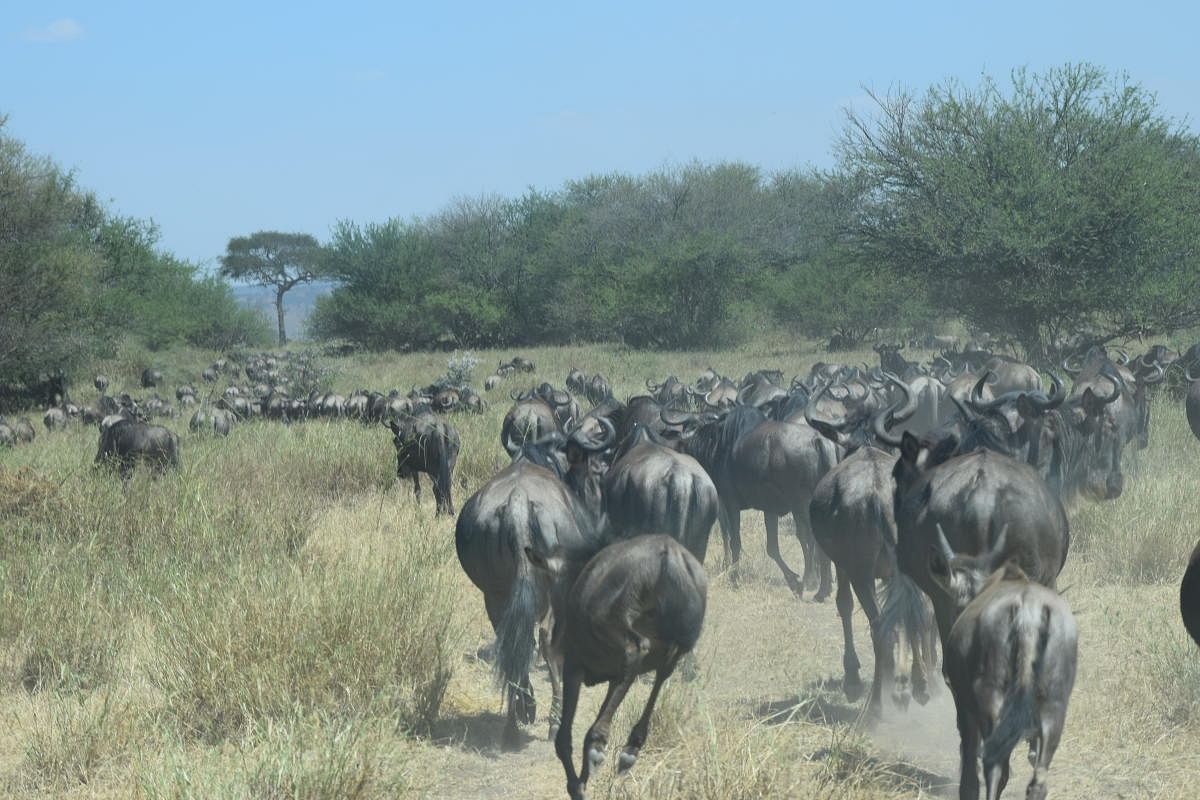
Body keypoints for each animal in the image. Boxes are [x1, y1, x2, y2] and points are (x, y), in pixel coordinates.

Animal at [926, 527, 1080, 800]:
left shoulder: (964, 705)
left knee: (995, 766)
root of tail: (1028, 613)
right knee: (1037, 781)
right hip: (1055, 706)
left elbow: (969, 768)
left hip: (991, 700)